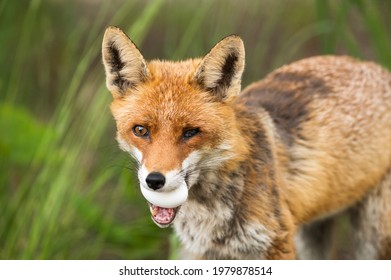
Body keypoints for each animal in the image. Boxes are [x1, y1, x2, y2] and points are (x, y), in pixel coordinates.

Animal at [102, 26, 391, 260]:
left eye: (190, 132)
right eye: (141, 130)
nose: (155, 181)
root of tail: (374, 66)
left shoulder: (277, 244)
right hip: (312, 236)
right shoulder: (202, 252)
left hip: (372, 238)